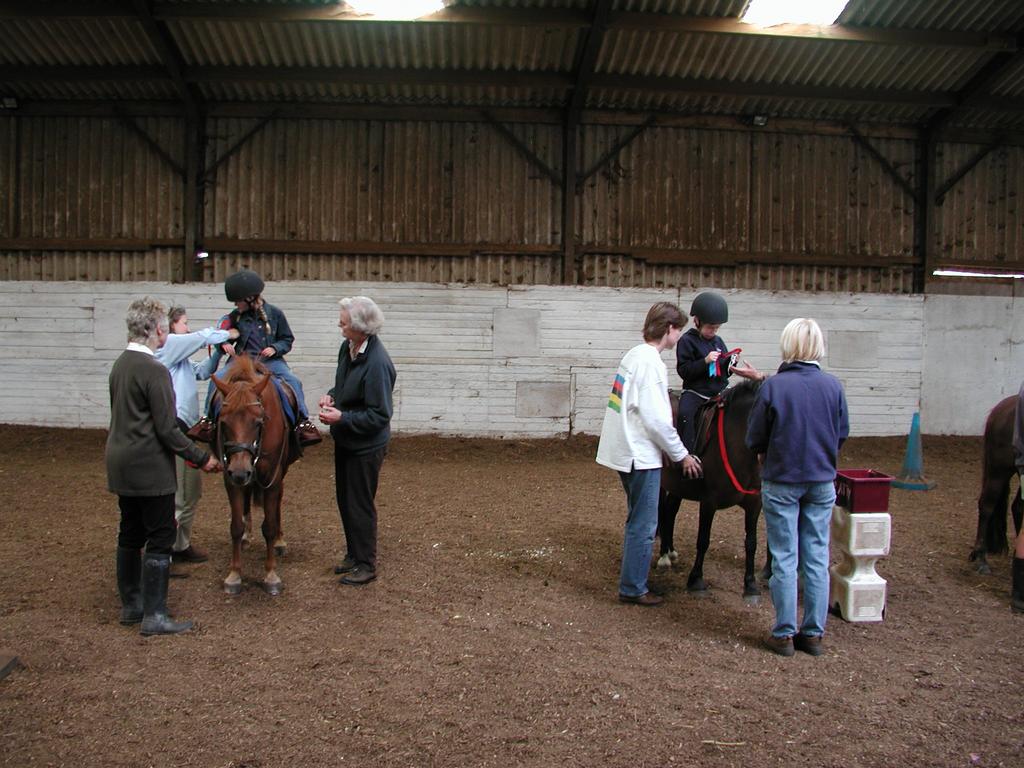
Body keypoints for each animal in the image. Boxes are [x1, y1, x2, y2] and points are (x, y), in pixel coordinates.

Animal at [211, 354, 299, 593]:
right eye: (223, 421)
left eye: (259, 421)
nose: (240, 471)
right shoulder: (230, 479)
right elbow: (235, 526)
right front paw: (234, 575)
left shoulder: (272, 477)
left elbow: (268, 526)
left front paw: (271, 575)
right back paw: (246, 537)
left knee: (277, 504)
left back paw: (279, 541)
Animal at [659, 382, 765, 606]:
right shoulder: (709, 502)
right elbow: (703, 540)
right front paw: (696, 580)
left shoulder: (755, 503)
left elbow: (751, 543)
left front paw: (751, 586)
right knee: (662, 512)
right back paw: (663, 556)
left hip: (677, 487)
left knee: (669, 512)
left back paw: (670, 552)